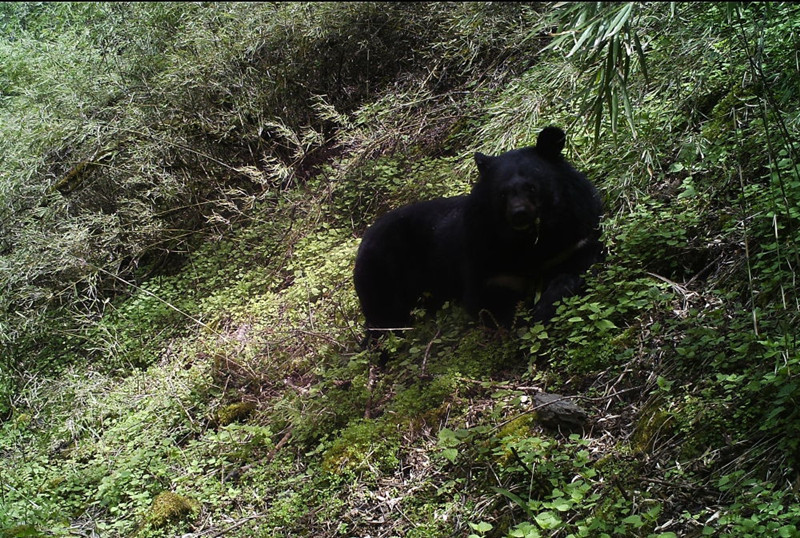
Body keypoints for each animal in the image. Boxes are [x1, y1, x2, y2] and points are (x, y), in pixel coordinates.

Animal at [354, 126, 604, 340]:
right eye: (502, 194)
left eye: (532, 187)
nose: (519, 214)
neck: (529, 239)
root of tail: (365, 237)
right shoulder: (487, 254)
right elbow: (486, 300)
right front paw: (522, 320)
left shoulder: (574, 231)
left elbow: (581, 263)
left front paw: (546, 305)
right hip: (383, 272)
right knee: (385, 314)